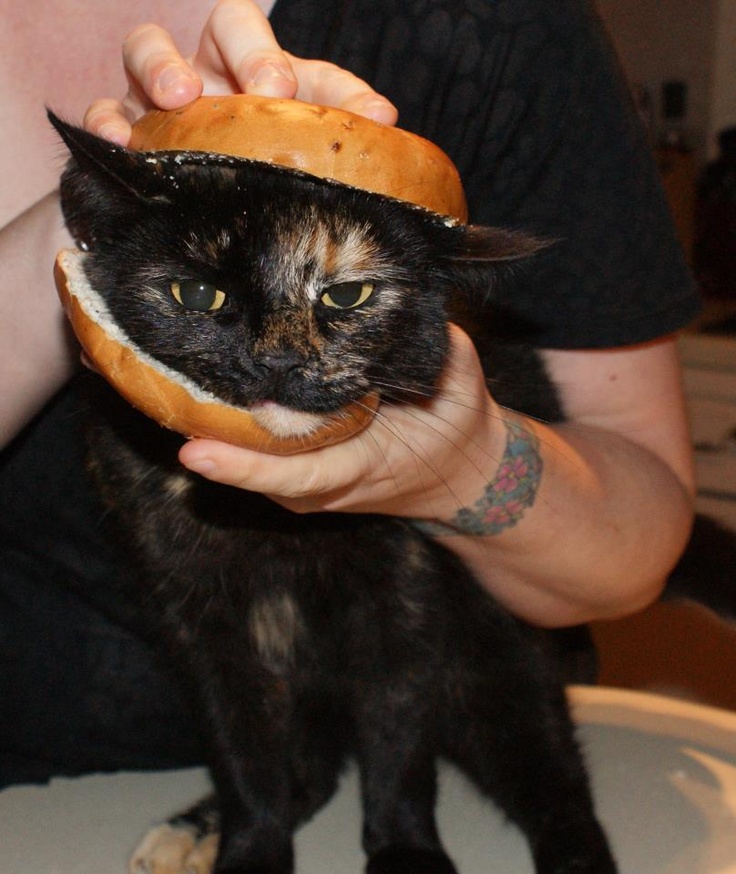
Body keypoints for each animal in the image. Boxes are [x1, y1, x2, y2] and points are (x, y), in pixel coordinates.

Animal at [49, 112, 660, 872]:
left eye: (346, 296)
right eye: (196, 294)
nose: (278, 360)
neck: (268, 529)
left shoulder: (406, 597)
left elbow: (397, 740)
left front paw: (405, 850)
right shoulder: (198, 621)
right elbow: (243, 750)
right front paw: (249, 848)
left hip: (500, 659)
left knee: (552, 777)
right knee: (309, 767)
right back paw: (194, 829)